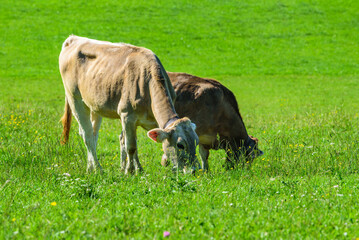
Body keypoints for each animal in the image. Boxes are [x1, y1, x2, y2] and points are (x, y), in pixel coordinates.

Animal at [59, 35, 200, 173]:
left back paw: (90, 167)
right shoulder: (127, 115)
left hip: (94, 105)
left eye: (197, 142)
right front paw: (130, 171)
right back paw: (98, 169)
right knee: (87, 135)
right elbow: (131, 146)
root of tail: (73, 38)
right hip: (74, 98)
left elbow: (131, 142)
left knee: (93, 135)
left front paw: (138, 169)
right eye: (180, 145)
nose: (194, 170)